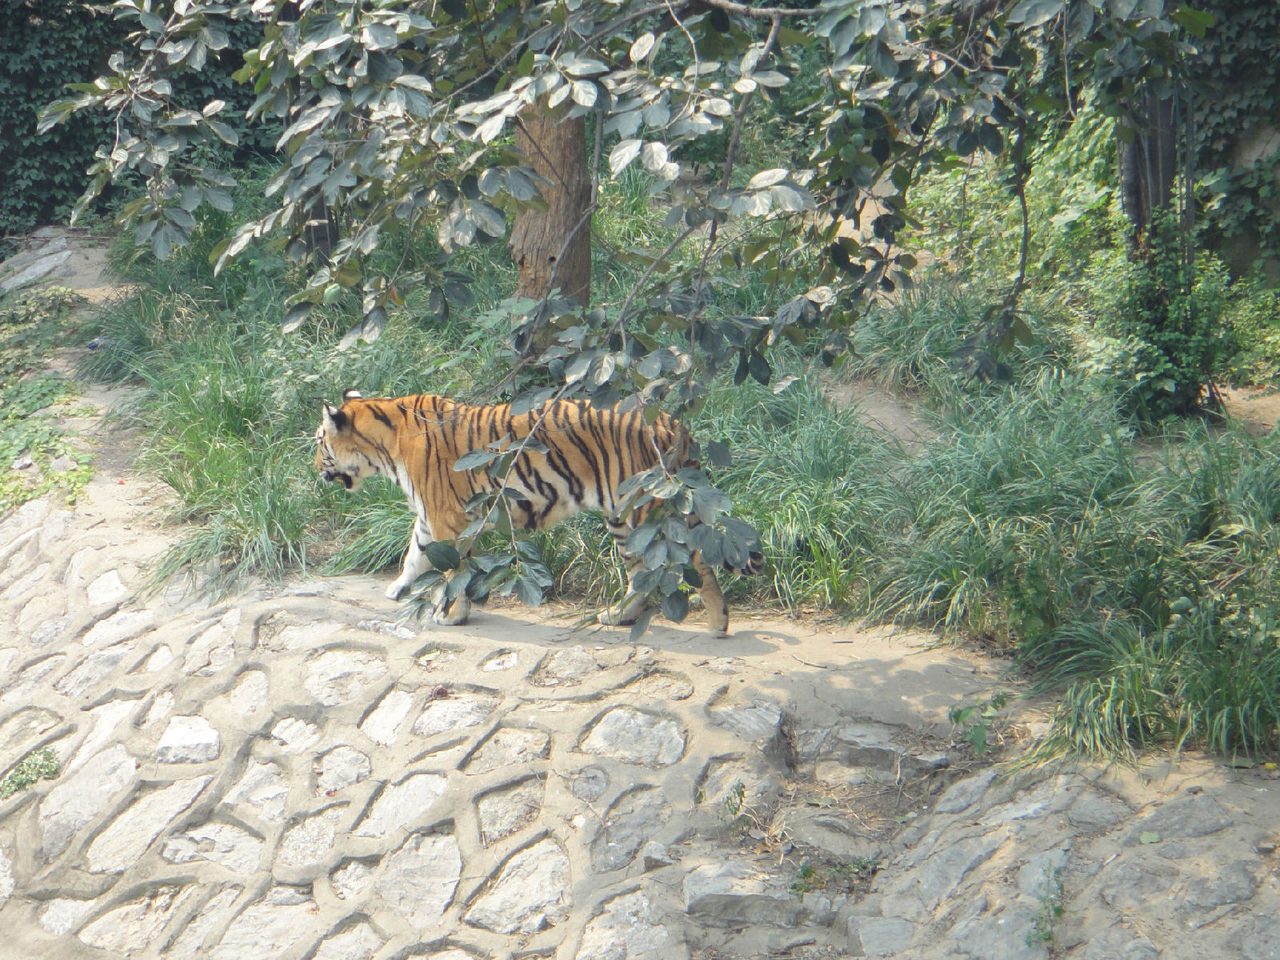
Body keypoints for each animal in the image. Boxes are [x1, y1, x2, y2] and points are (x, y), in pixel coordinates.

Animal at [315, 389, 762, 632]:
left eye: (320, 442)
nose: (315, 469)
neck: (385, 445)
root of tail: (673, 423)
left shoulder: (446, 517)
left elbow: (452, 571)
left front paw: (452, 614)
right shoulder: (431, 517)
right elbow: (414, 553)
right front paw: (398, 589)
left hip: (643, 510)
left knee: (690, 562)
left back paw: (717, 624)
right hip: (625, 517)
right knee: (644, 573)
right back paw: (618, 616)